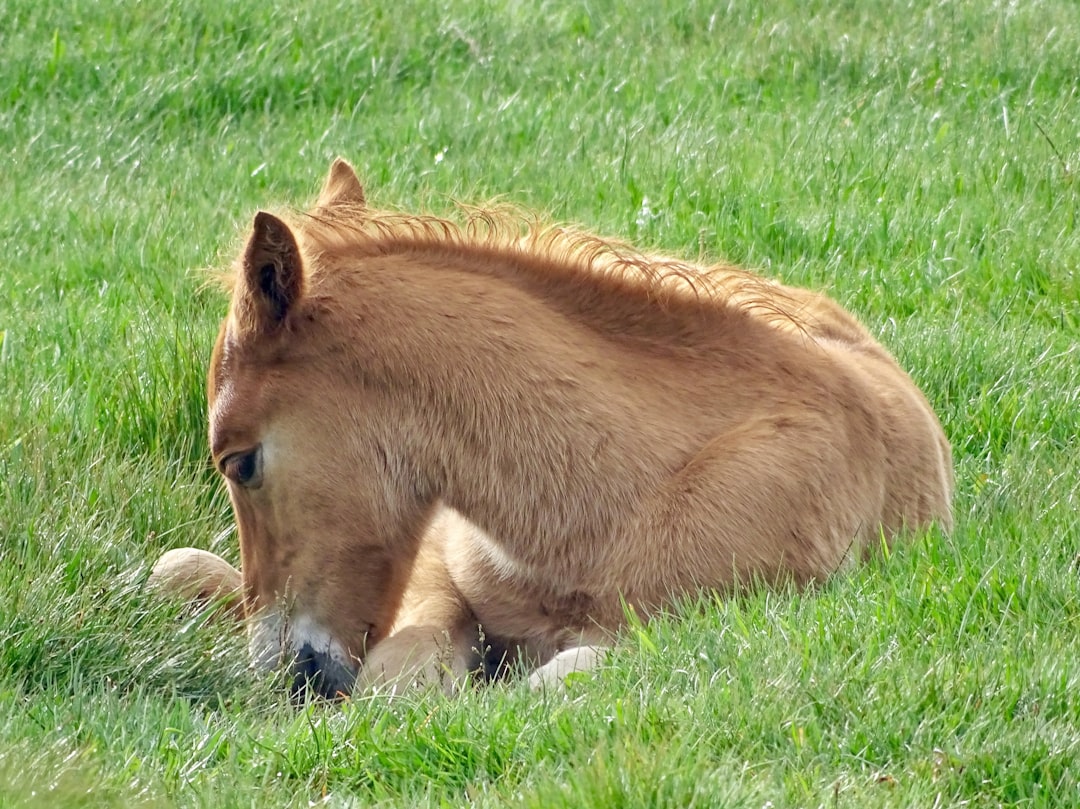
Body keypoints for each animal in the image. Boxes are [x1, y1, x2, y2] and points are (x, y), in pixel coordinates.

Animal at [154, 157, 954, 695]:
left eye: (240, 461)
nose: (284, 671)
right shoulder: (436, 565)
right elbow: (401, 673)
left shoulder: (723, 617)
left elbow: (558, 676)